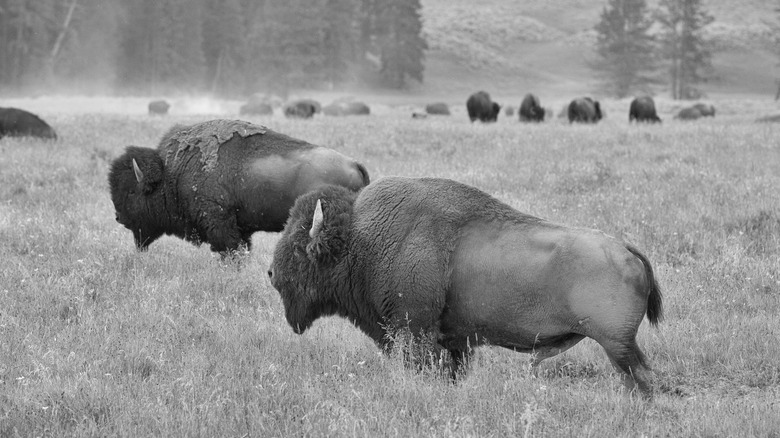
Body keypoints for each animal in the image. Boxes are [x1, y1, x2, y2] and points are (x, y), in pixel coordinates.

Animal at [108, 119, 369, 255]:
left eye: (131, 191)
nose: (119, 217)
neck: (171, 172)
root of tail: (354, 164)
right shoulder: (241, 230)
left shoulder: (221, 225)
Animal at [268, 177, 663, 397]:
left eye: (298, 244)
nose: (271, 273)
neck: (359, 238)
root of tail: (627, 250)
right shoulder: (454, 343)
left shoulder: (414, 332)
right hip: (619, 346)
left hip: (616, 343)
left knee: (642, 378)